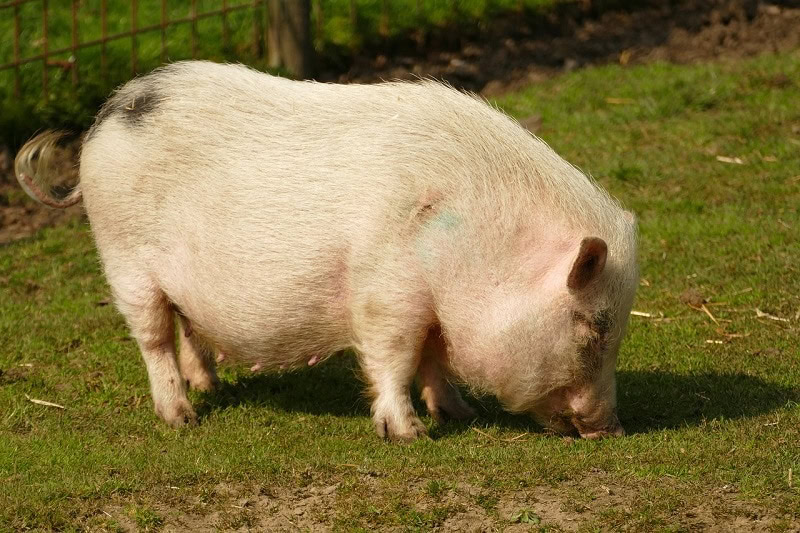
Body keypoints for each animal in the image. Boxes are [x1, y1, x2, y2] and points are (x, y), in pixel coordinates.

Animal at [15, 61, 638, 441]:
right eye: (594, 328)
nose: (612, 428)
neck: (473, 244)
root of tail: (107, 116)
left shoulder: (432, 308)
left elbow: (433, 359)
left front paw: (463, 412)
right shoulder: (387, 291)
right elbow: (395, 356)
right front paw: (409, 434)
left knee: (188, 326)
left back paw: (209, 386)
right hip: (124, 258)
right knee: (153, 338)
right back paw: (182, 418)